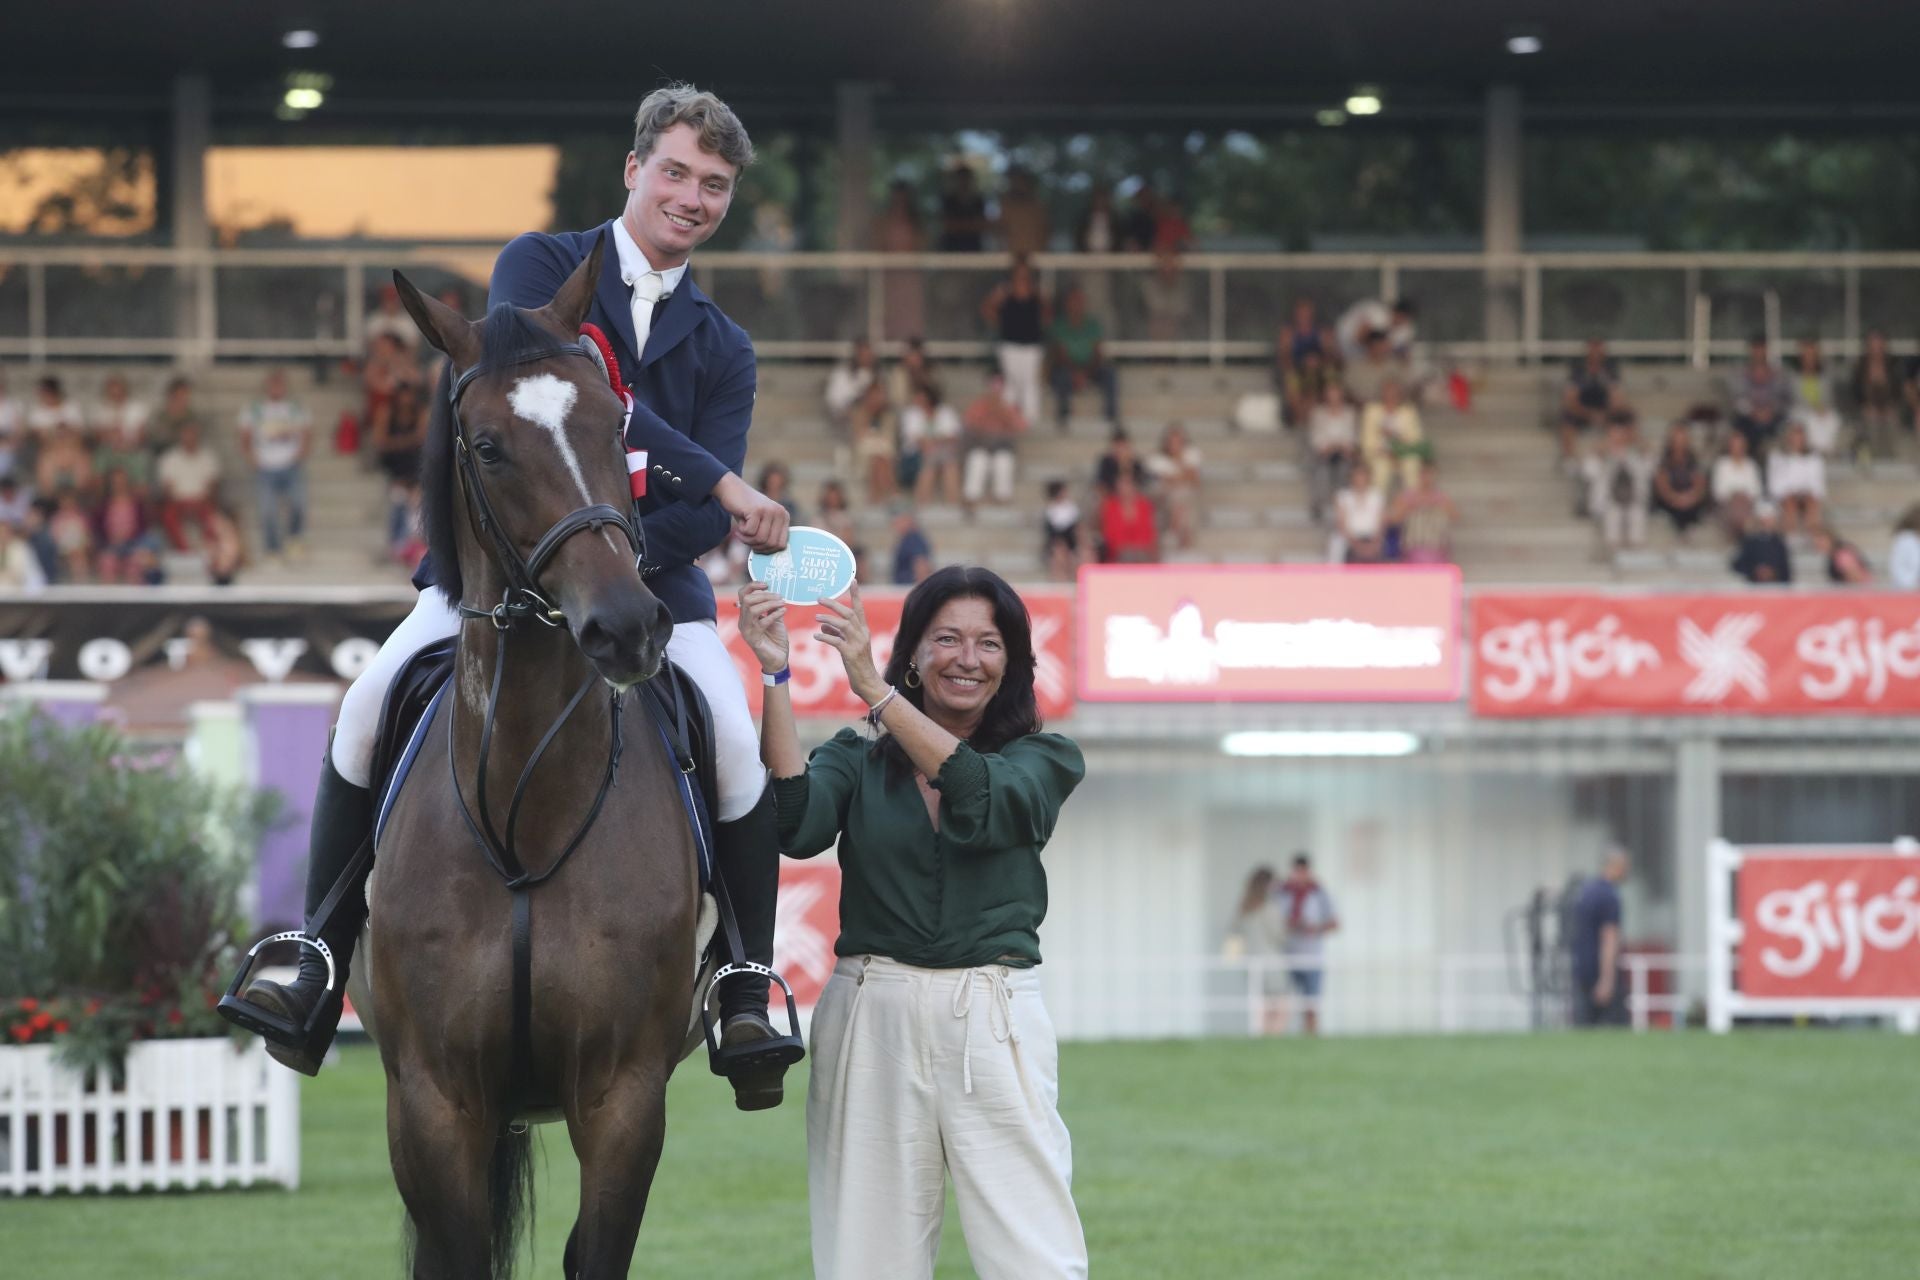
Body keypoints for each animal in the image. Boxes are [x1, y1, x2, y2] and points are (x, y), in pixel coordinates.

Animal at [362, 245, 695, 1274]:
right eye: (488, 447)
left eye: (611, 425)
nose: (626, 627)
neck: (523, 814)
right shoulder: (434, 1102)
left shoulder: (624, 1096)